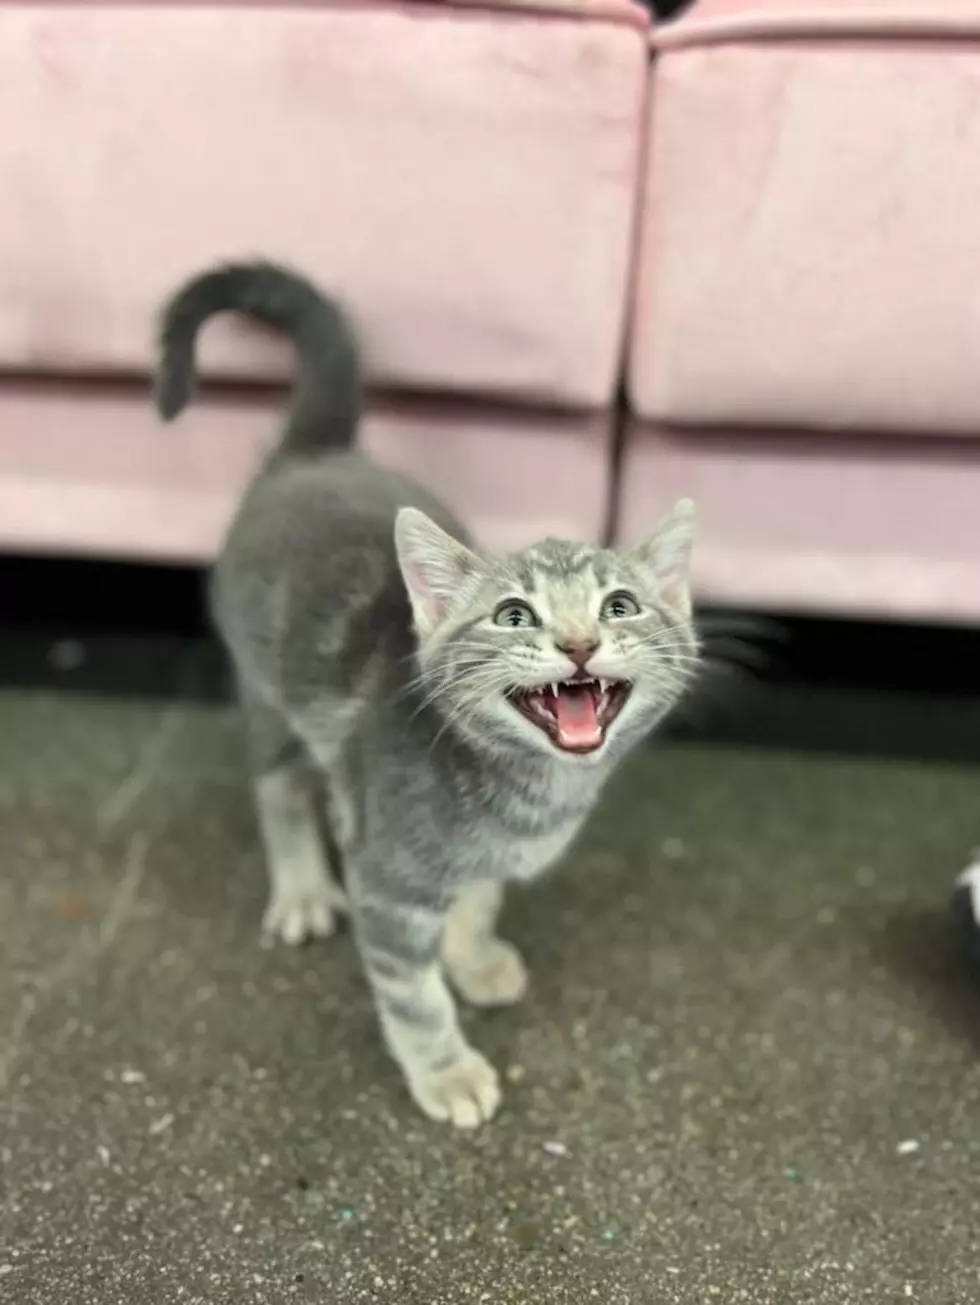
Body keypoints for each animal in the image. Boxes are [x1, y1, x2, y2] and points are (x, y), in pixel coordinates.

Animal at [155, 259, 699, 1127]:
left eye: (620, 605)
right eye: (515, 615)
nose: (579, 642)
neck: (532, 797)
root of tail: (317, 455)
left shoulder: (483, 865)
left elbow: (478, 902)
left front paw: (470, 957)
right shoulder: (389, 886)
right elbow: (412, 994)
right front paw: (446, 1069)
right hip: (266, 691)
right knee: (279, 784)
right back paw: (301, 883)